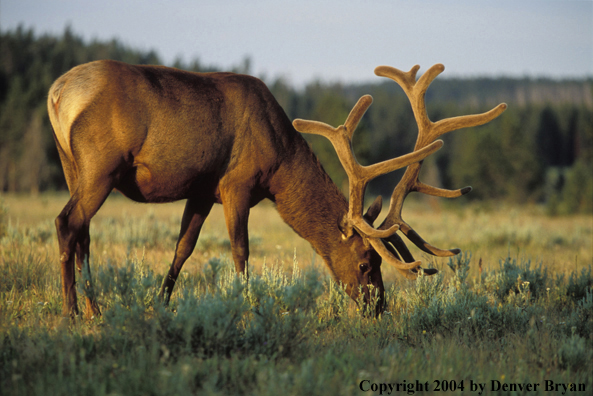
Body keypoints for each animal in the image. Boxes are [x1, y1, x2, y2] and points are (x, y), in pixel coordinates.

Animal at [48, 59, 506, 318]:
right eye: (365, 263)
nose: (379, 307)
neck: (279, 163)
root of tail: (58, 93)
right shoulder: (237, 184)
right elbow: (241, 252)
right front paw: (248, 306)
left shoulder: (202, 188)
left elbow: (183, 248)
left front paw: (161, 304)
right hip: (100, 167)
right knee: (67, 222)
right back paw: (71, 311)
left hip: (73, 166)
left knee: (84, 233)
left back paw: (94, 307)